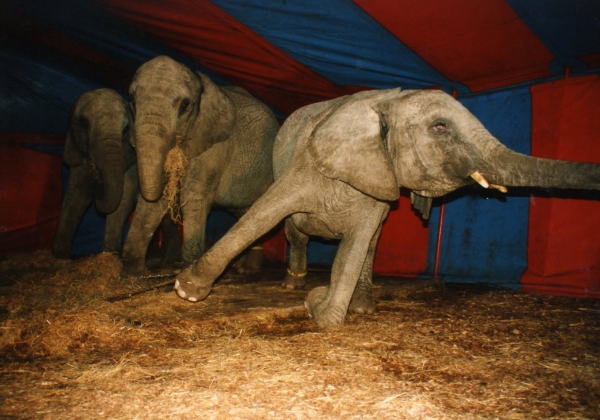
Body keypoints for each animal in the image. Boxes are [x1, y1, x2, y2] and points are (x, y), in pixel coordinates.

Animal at [52, 88, 181, 263]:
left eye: (126, 130)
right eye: (83, 123)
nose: (99, 184)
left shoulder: (132, 161)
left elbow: (122, 201)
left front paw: (109, 259)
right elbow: (76, 196)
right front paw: (60, 258)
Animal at [121, 56, 279, 276]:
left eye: (184, 105)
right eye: (133, 101)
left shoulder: (215, 146)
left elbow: (194, 196)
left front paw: (186, 271)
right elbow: (156, 199)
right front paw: (134, 274)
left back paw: (247, 271)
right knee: (244, 212)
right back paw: (243, 269)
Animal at [173, 88, 600, 328]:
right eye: (440, 127)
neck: (388, 102)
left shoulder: (377, 184)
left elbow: (357, 244)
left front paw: (322, 306)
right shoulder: (311, 161)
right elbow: (264, 213)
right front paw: (186, 290)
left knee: (371, 242)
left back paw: (361, 306)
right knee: (295, 230)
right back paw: (293, 282)